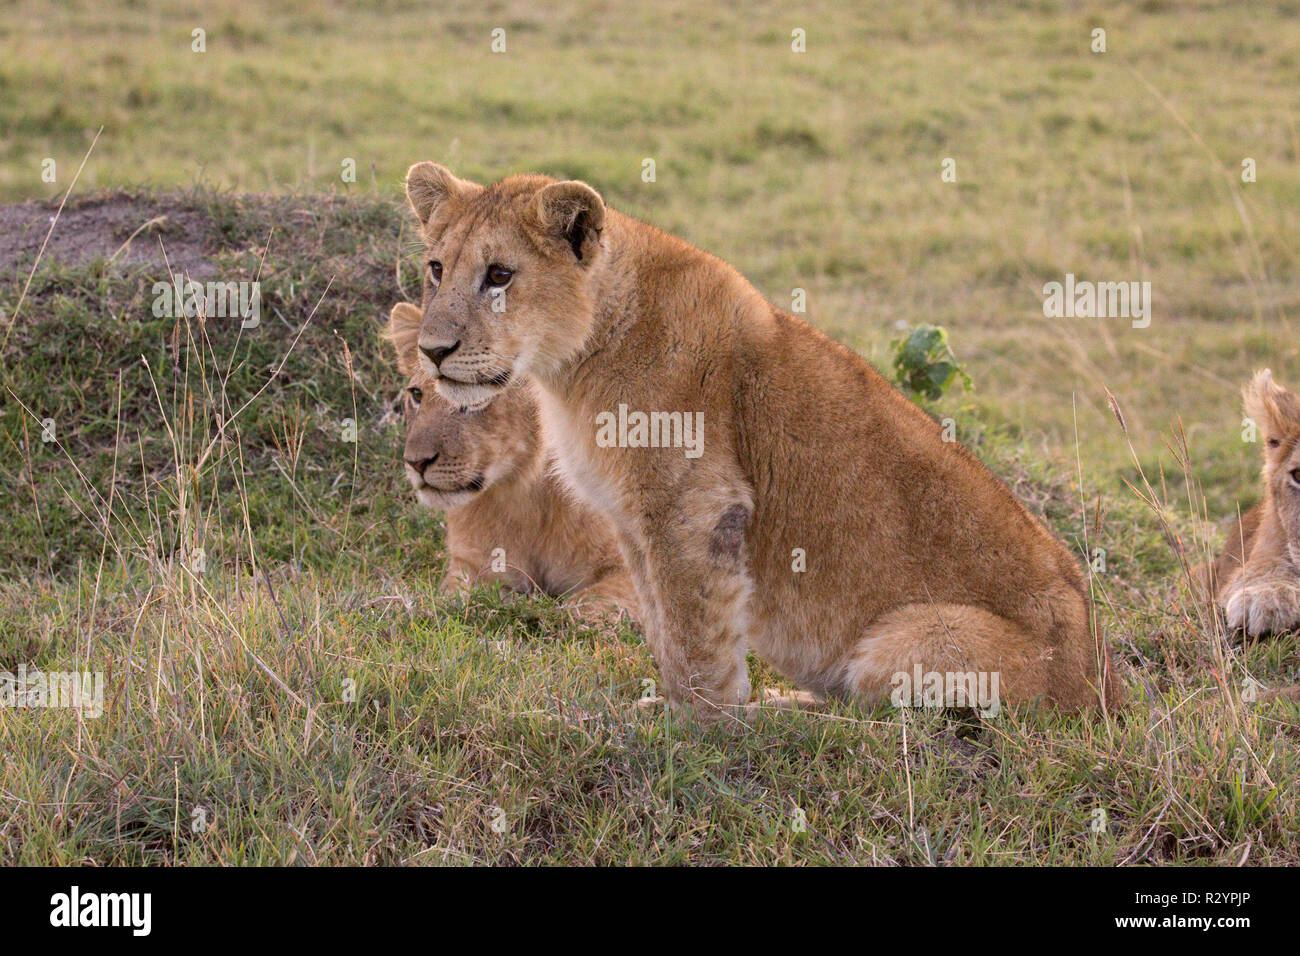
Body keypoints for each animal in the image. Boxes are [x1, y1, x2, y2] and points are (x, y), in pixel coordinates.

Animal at [385, 302, 638, 623]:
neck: (525, 497)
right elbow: (455, 599)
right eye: (417, 395)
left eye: (475, 397)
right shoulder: (470, 566)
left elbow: (582, 604)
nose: (415, 462)